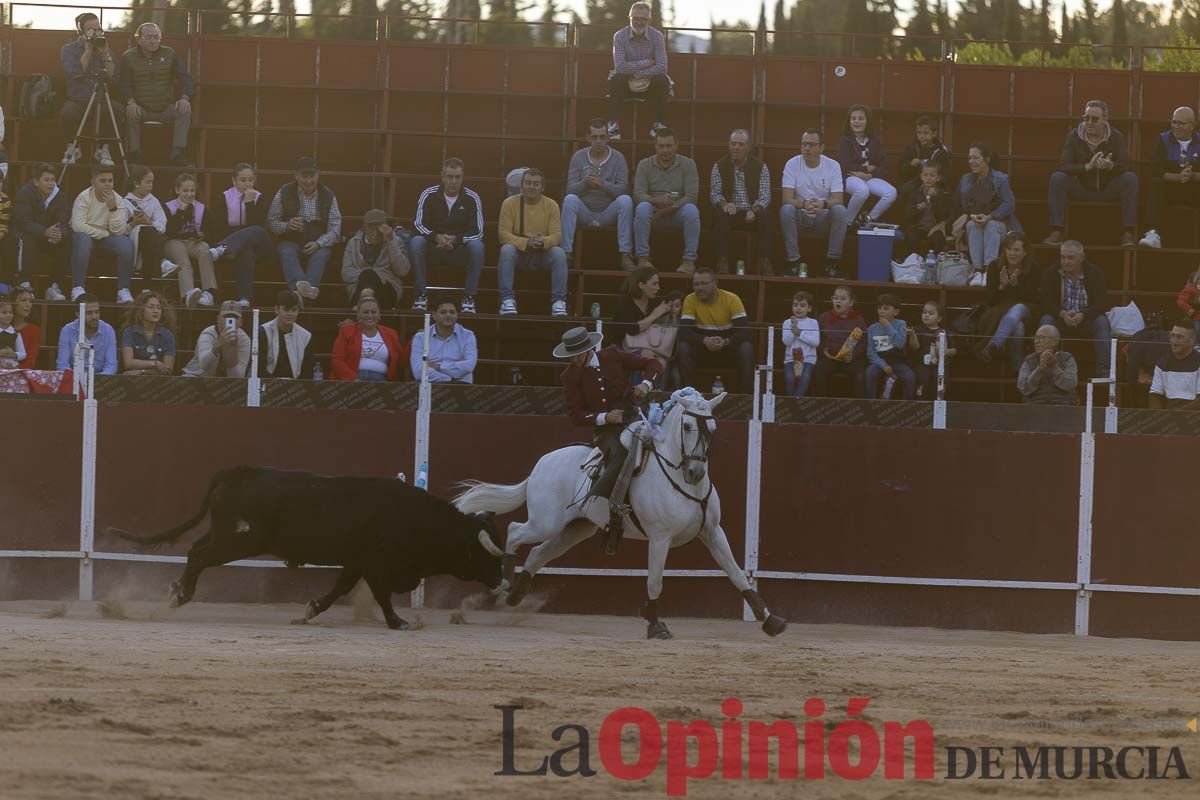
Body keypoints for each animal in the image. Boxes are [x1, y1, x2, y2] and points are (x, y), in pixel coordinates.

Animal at [104, 465, 511, 628]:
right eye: (483, 553)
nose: (503, 584)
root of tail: (242, 471)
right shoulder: (376, 564)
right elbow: (381, 594)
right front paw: (399, 622)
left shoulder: (357, 561)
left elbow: (341, 588)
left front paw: (310, 610)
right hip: (240, 540)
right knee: (199, 555)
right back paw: (179, 596)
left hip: (226, 534)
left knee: (196, 550)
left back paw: (177, 593)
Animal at [451, 388, 787, 638]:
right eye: (688, 426)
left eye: (713, 428)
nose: (695, 472)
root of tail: (542, 464)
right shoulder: (660, 537)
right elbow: (655, 581)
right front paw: (655, 625)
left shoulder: (713, 531)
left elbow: (736, 573)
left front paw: (770, 620)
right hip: (545, 521)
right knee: (515, 531)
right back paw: (503, 583)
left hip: (576, 528)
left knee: (537, 553)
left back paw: (515, 596)